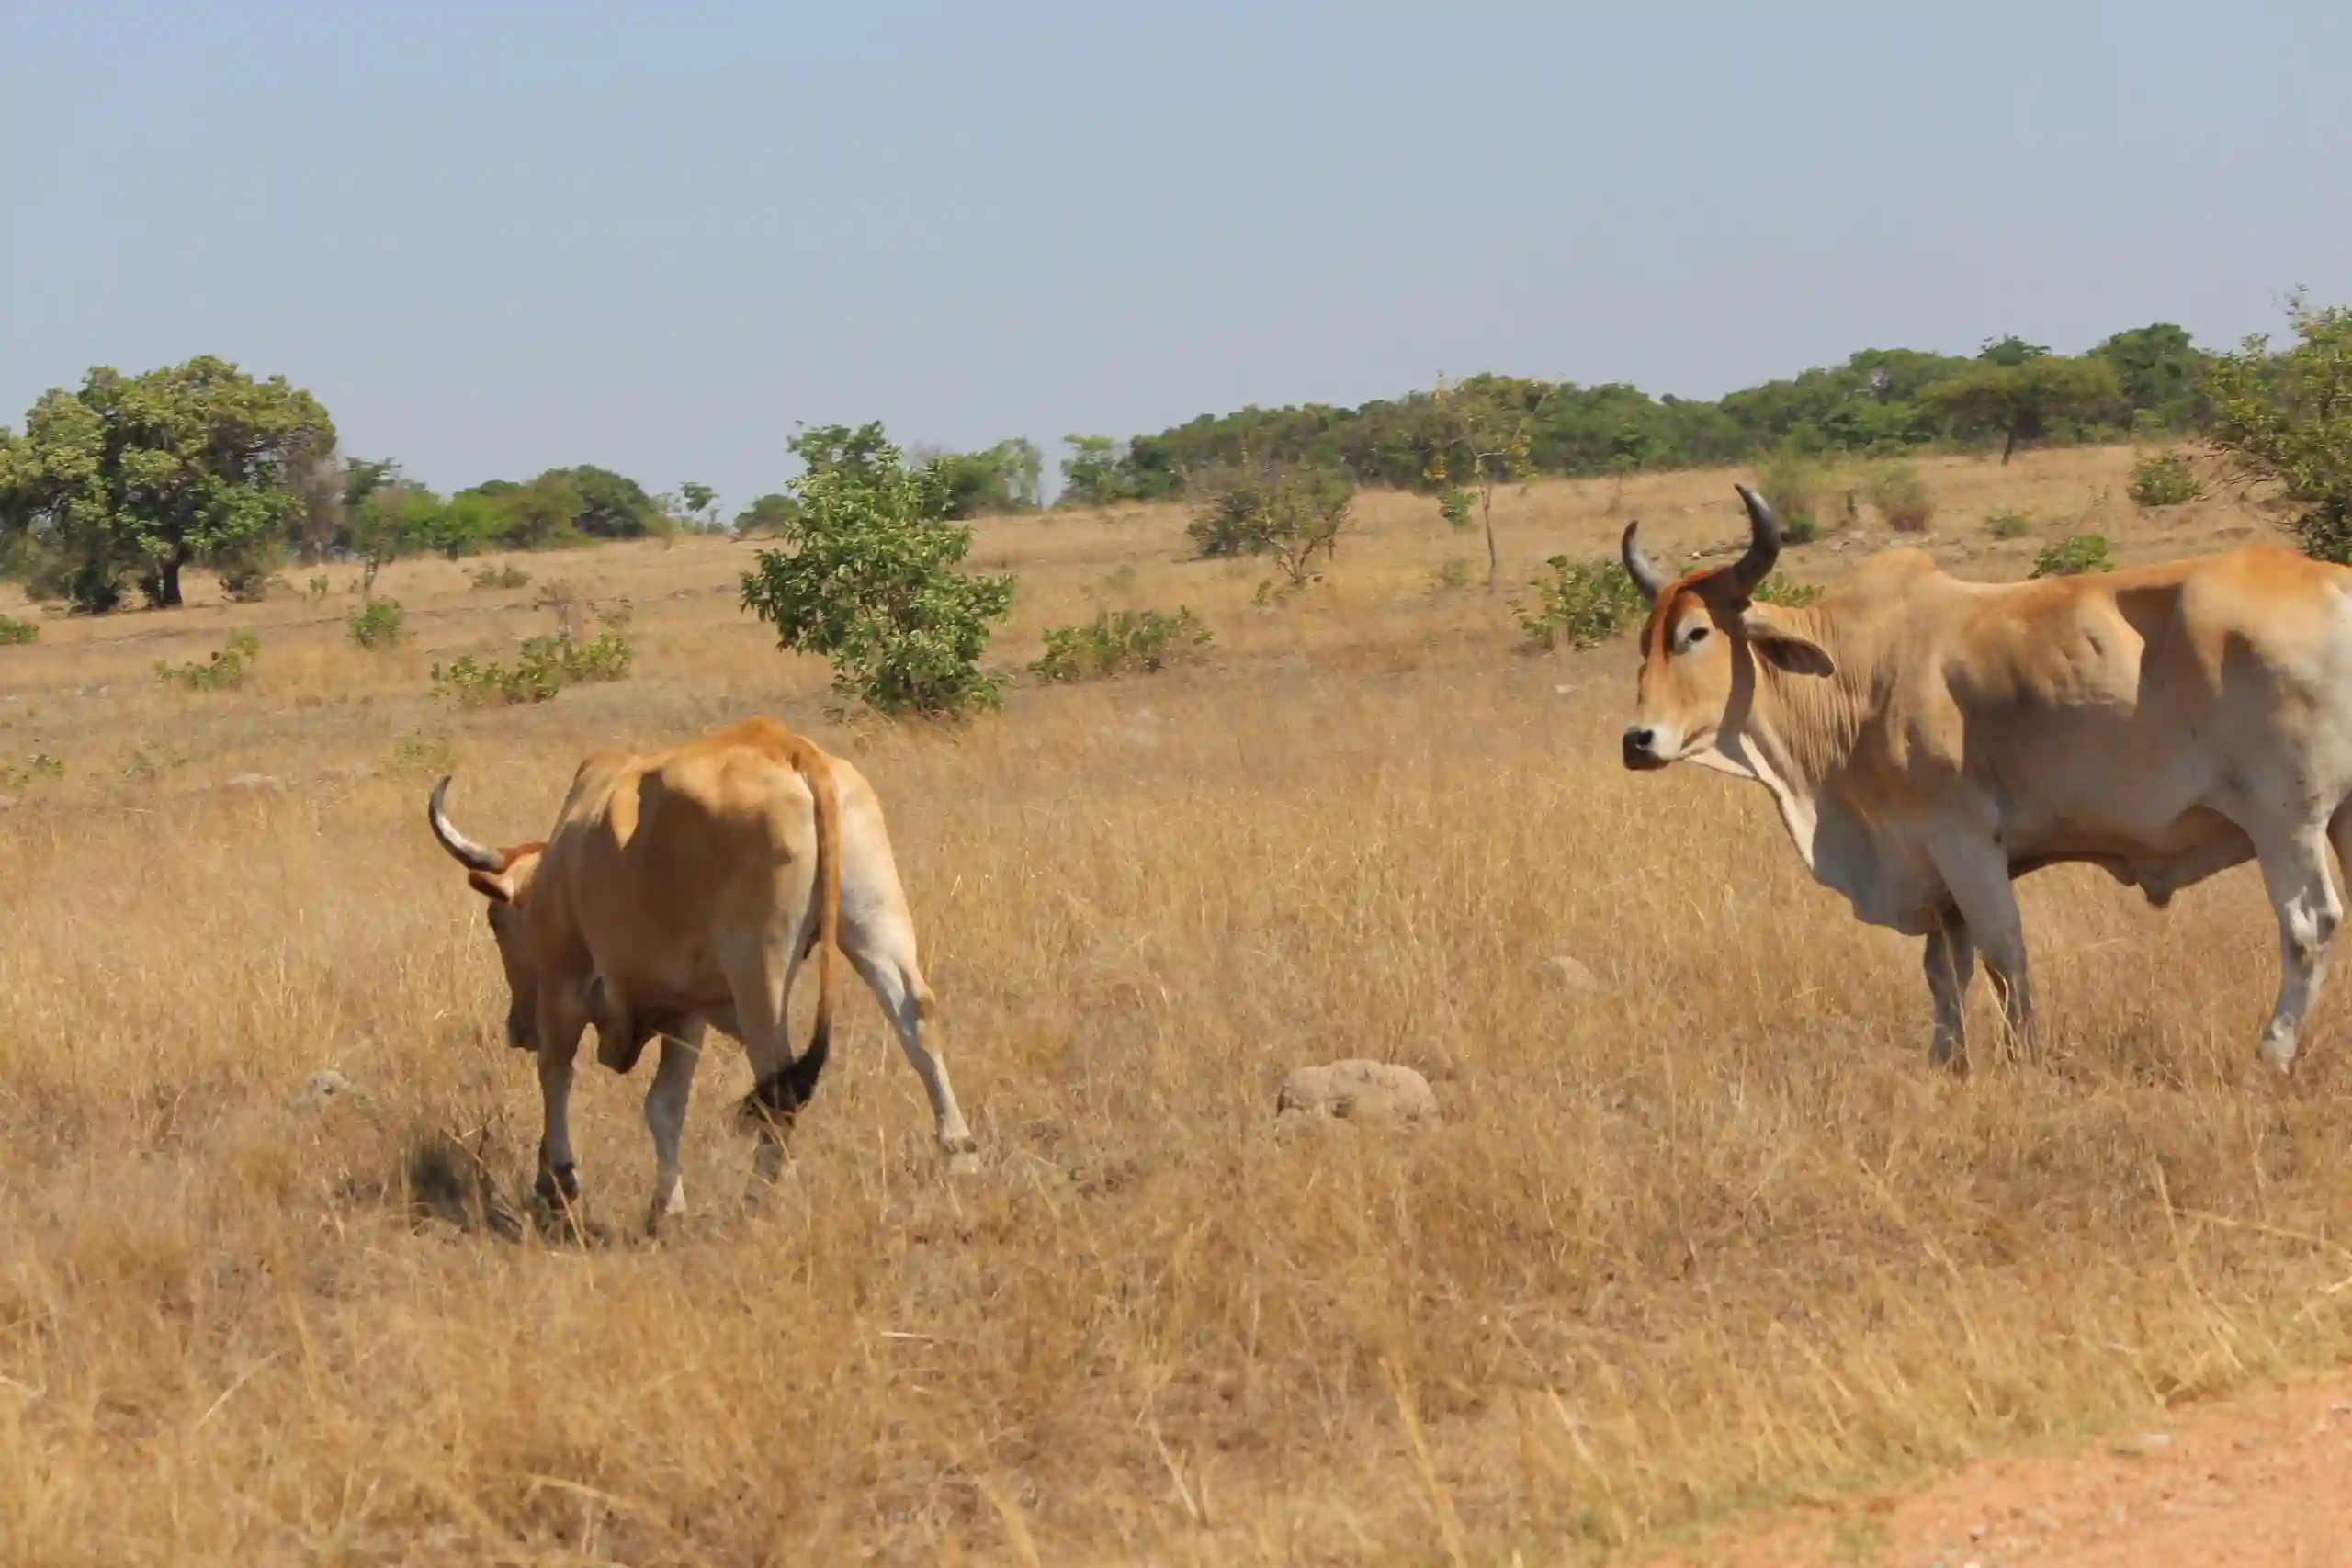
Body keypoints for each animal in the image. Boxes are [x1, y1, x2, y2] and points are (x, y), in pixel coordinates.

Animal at [430, 719, 973, 1232]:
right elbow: (664, 1106)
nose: (517, 1029)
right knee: (916, 1019)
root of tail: (787, 747)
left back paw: (754, 1201)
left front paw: (556, 1183)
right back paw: (960, 1153)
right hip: (876, 921)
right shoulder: (685, 1014)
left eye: (495, 920)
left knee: (778, 1084)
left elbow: (556, 1078)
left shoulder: (565, 990)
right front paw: (665, 1207)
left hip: (758, 972)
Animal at [1627, 486, 2352, 1081]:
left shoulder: (1963, 839)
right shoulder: (1932, 870)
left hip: (2285, 818)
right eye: (1646, 641)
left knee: (2308, 925)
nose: (1638, 740)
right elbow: (1945, 970)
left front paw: (2022, 1056)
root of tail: (2334, 585)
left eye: (1695, 633)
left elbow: (2004, 952)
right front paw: (1948, 1059)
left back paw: (2272, 1052)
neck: (1855, 676)